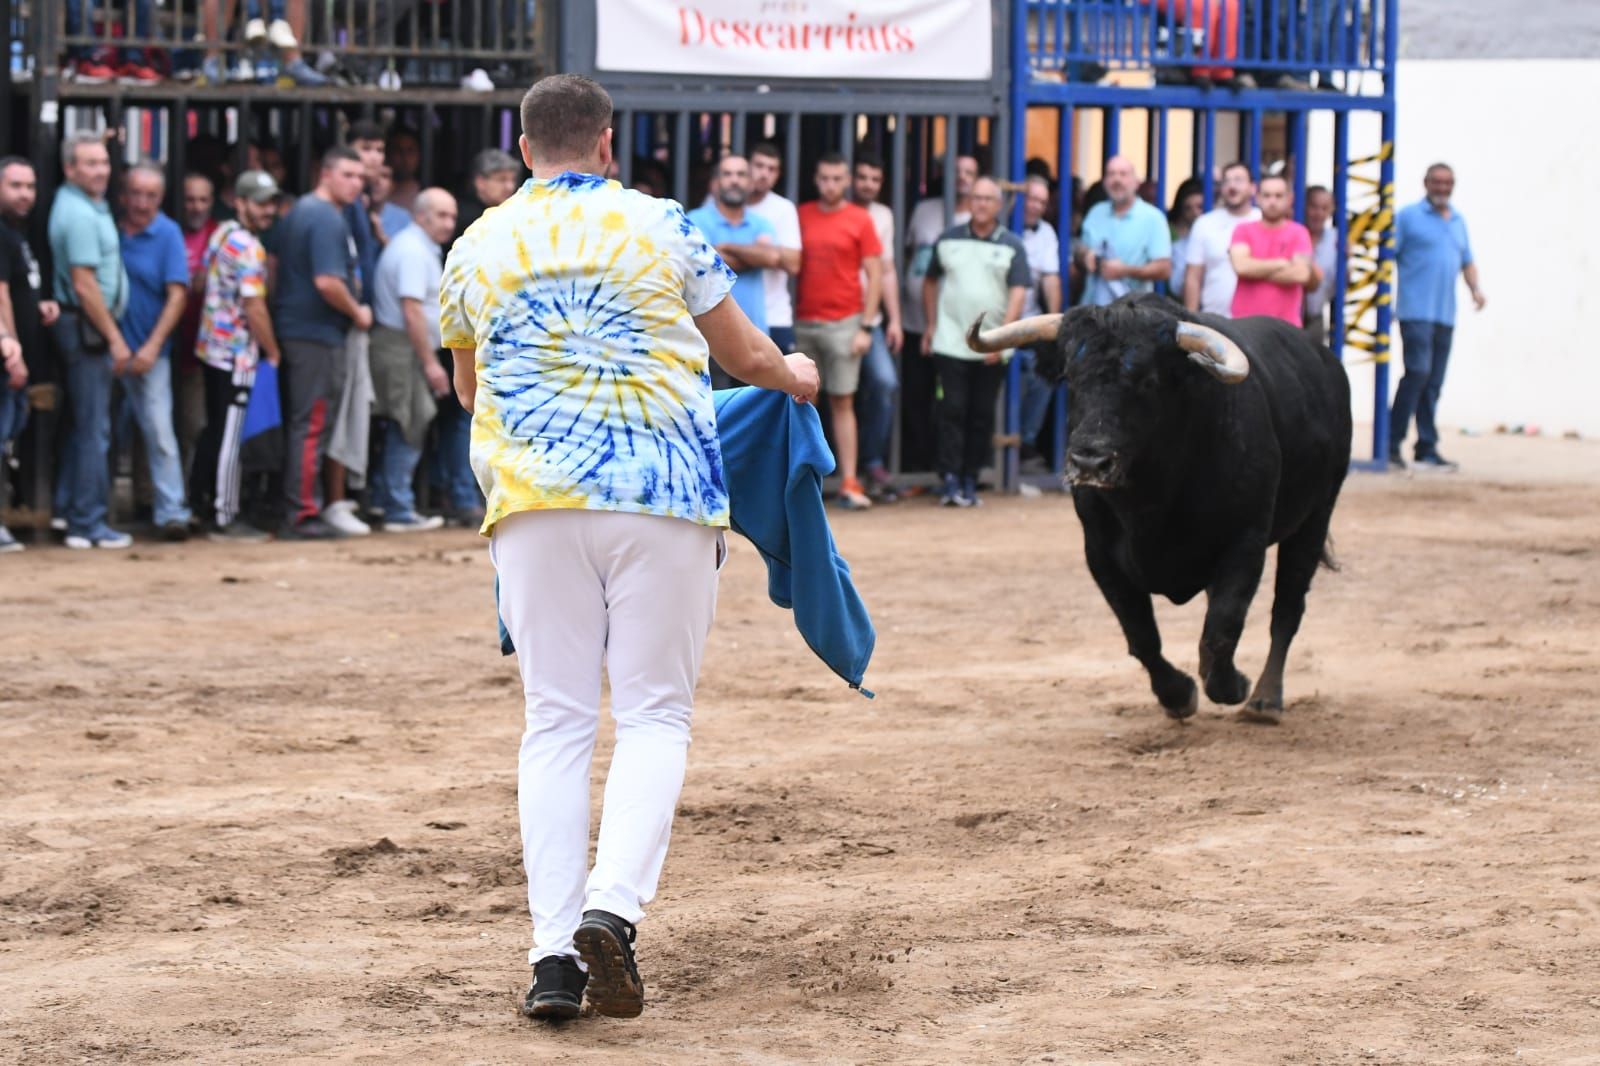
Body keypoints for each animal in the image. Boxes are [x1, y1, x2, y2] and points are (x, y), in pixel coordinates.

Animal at [966, 291, 1356, 723]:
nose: (1089, 462)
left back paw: (1265, 700)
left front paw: (1234, 685)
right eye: (1071, 378)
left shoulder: (1246, 542)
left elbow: (1222, 629)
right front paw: (1178, 695)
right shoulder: (1100, 555)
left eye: (1148, 381)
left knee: (1286, 609)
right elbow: (1141, 636)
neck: (1151, 502)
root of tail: (1324, 359)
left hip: (1316, 517)